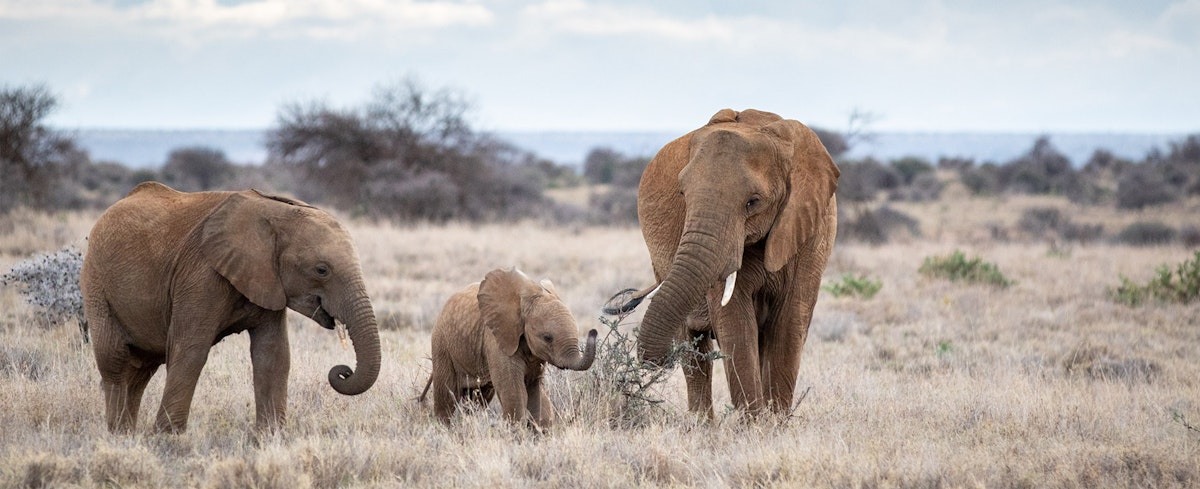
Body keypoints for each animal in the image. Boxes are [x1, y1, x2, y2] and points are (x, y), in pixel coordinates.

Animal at [80, 181, 381, 434]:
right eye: (321, 270)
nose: (343, 370)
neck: (278, 212)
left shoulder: (266, 279)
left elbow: (273, 355)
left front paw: (271, 438)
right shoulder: (201, 275)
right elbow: (190, 350)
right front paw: (168, 438)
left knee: (141, 368)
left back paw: (128, 434)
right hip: (95, 282)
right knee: (115, 360)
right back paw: (118, 434)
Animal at [420, 267, 598, 428]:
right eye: (547, 338)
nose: (594, 331)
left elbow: (534, 387)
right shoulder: (496, 339)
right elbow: (514, 391)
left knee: (479, 398)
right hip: (441, 343)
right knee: (446, 394)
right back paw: (445, 429)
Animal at [607, 108, 839, 418]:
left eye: (753, 202)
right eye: (682, 194)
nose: (656, 360)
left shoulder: (812, 231)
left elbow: (789, 322)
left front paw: (774, 423)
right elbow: (736, 322)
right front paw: (755, 424)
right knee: (695, 353)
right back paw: (702, 425)